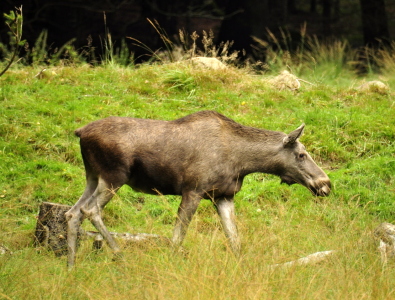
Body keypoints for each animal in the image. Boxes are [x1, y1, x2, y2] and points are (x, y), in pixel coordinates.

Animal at [65, 110, 332, 268]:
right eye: (301, 154)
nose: (326, 184)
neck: (242, 162)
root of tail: (80, 132)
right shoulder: (193, 190)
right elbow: (178, 237)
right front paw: (171, 264)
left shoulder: (224, 196)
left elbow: (234, 240)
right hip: (114, 176)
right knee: (91, 210)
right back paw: (120, 255)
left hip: (92, 177)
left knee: (73, 212)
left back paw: (71, 265)